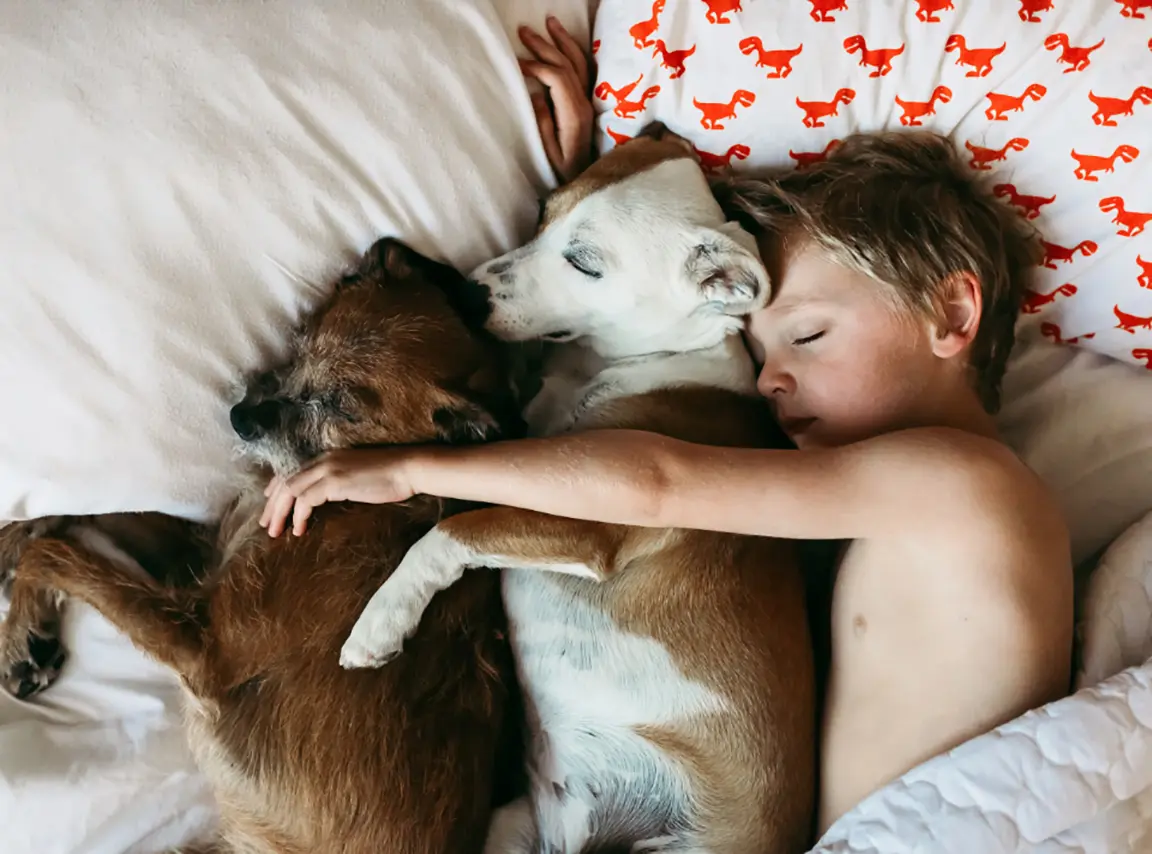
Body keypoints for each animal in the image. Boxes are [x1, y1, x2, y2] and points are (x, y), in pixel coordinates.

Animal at [336, 128, 815, 852]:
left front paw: (382, 618)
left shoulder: (593, 522)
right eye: (543, 209)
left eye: (585, 263)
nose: (468, 296)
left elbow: (453, 530)